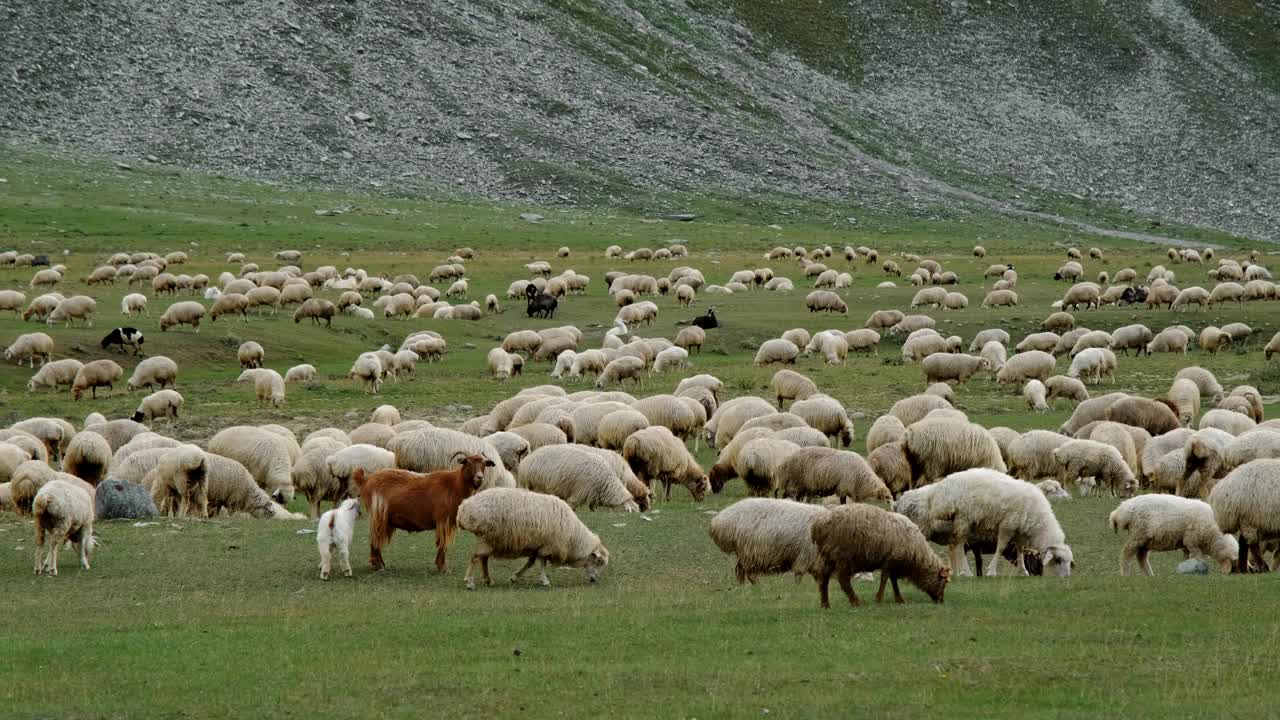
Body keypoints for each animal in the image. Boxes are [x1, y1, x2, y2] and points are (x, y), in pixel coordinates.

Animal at [355, 450, 494, 568]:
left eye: (484, 464)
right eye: (468, 462)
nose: (479, 477)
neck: (454, 484)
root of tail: (365, 480)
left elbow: (443, 544)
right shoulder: (443, 520)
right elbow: (442, 543)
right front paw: (442, 567)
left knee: (376, 539)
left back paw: (379, 564)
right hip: (378, 515)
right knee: (375, 538)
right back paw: (378, 565)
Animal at [460, 486, 609, 589]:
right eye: (598, 562)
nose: (595, 580)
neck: (573, 536)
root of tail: (464, 508)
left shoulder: (537, 545)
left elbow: (530, 563)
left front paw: (515, 577)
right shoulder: (548, 545)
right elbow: (542, 564)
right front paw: (545, 581)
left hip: (489, 540)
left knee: (483, 559)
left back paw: (488, 580)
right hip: (486, 537)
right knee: (475, 558)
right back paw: (469, 582)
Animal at [808, 502, 952, 607]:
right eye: (943, 583)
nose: (941, 601)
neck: (917, 554)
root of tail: (818, 525)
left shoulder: (894, 564)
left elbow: (893, 581)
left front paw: (899, 599)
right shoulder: (890, 560)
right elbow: (885, 579)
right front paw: (879, 599)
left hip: (827, 555)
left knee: (823, 577)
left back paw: (825, 604)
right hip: (843, 556)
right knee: (842, 579)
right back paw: (855, 601)